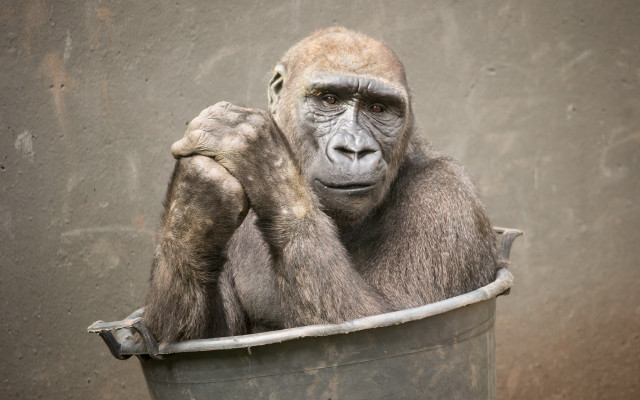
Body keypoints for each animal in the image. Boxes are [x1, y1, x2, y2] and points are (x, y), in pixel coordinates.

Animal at [143, 27, 508, 343]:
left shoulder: (446, 197)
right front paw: (194, 204)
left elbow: (387, 318)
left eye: (378, 108)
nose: (355, 149)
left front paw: (264, 160)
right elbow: (199, 338)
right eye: (330, 100)